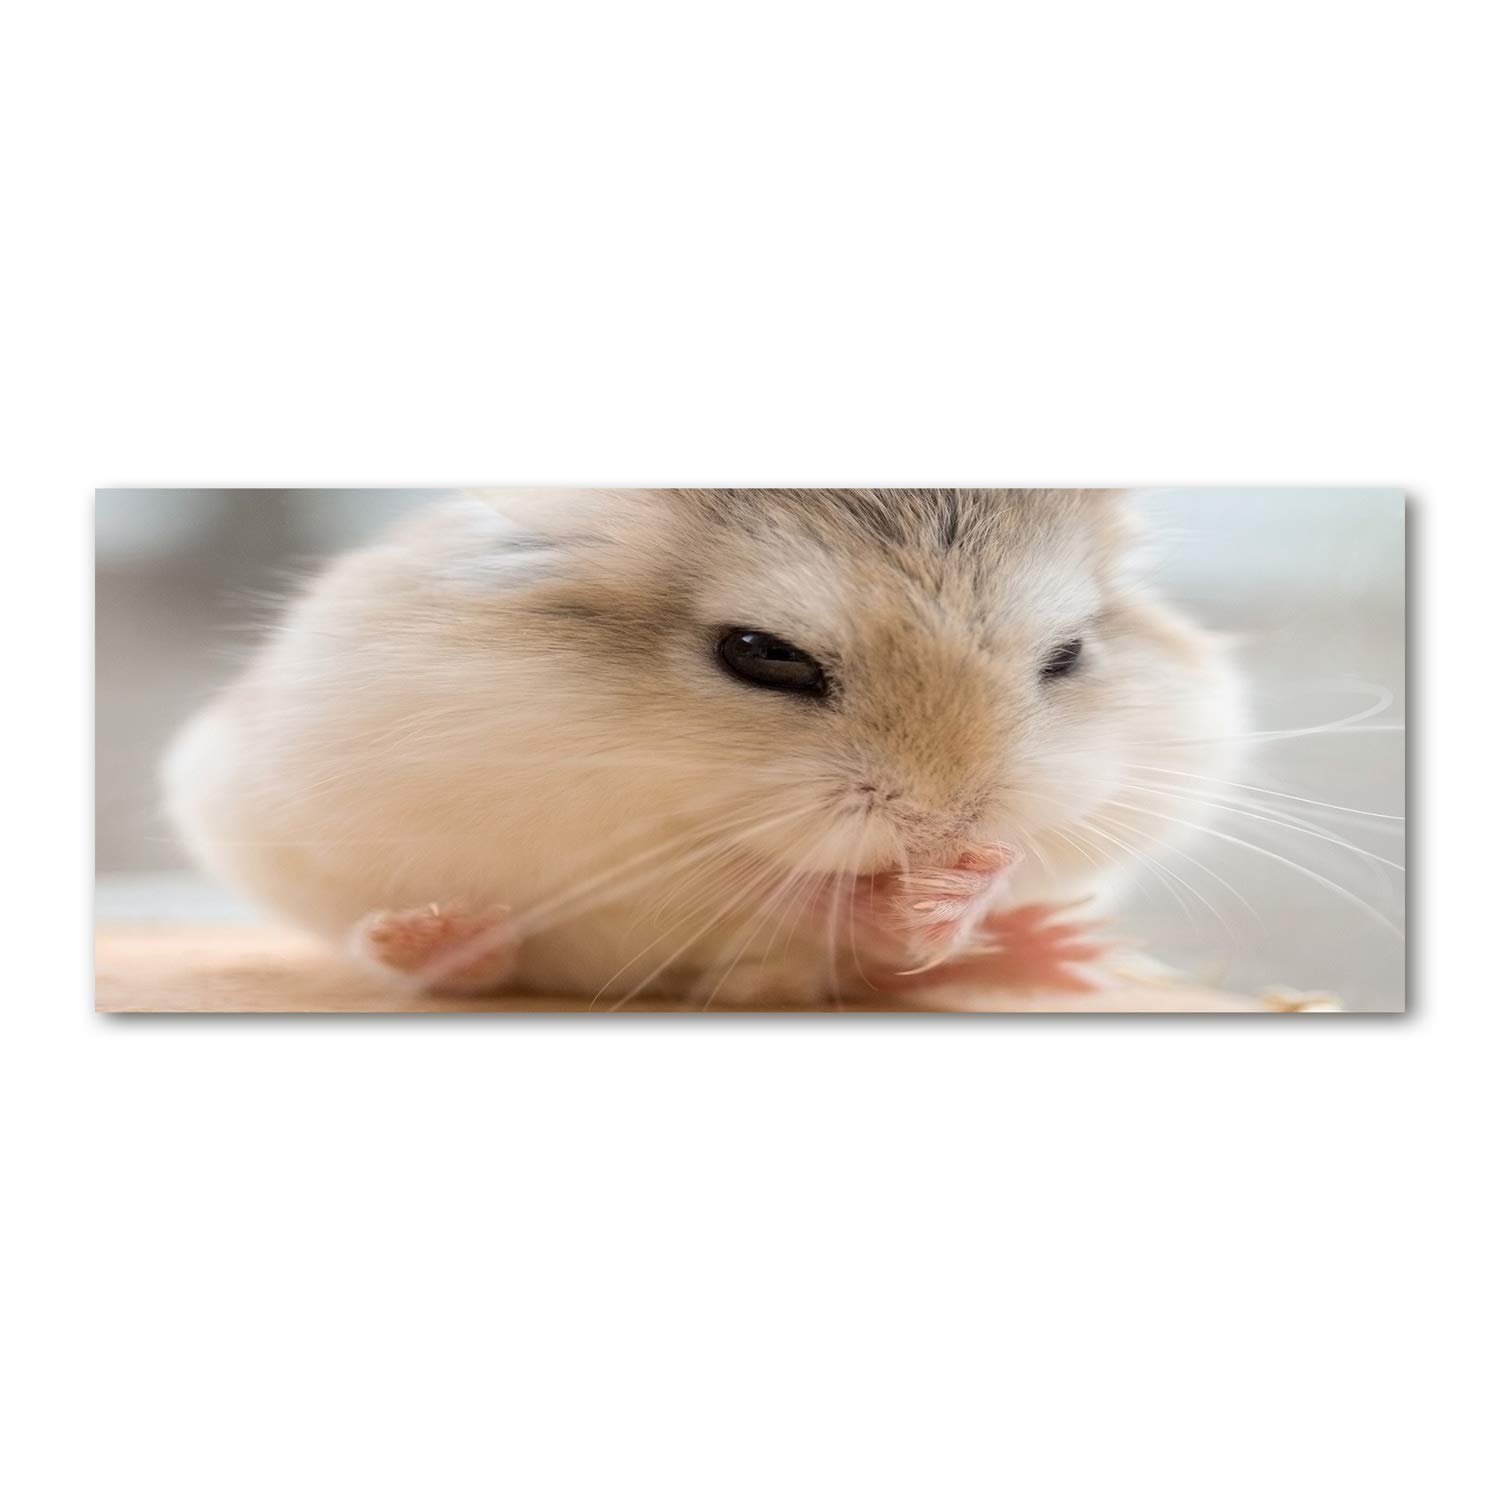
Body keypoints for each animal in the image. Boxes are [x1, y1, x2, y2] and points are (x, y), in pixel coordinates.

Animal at [164, 488, 1244, 1006]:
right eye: (762, 656)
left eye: (1069, 656)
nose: (946, 828)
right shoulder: (580, 826)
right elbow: (738, 876)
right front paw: (890, 892)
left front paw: (958, 893)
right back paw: (437, 938)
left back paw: (1054, 949)